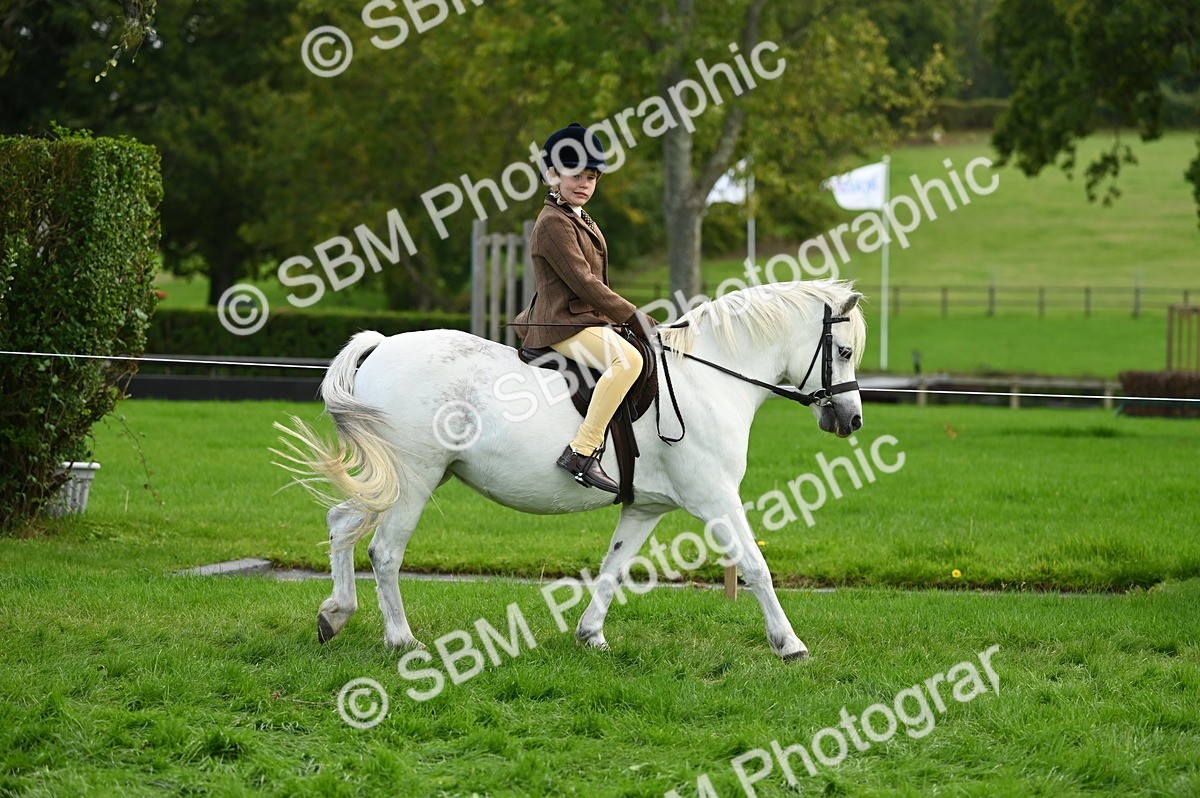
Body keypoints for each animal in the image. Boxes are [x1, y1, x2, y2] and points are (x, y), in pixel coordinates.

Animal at [275, 279, 866, 660]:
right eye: (843, 350)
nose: (852, 419)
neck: (708, 378)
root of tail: (382, 346)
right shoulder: (716, 498)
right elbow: (755, 566)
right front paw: (789, 645)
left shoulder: (646, 508)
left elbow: (614, 569)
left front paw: (590, 636)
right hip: (414, 480)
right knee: (384, 552)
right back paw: (401, 640)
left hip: (404, 479)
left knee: (341, 523)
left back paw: (335, 613)